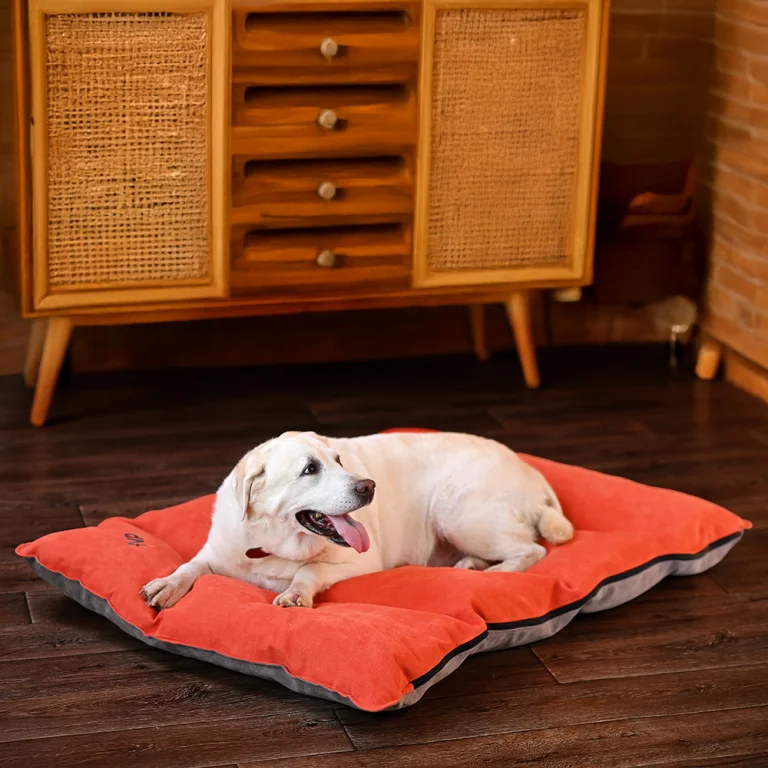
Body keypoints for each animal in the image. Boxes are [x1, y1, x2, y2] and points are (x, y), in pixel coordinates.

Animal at [141, 431, 574, 610]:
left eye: (338, 460)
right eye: (309, 469)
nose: (368, 486)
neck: (273, 544)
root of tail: (534, 474)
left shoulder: (359, 561)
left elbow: (309, 572)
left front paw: (296, 593)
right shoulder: (218, 550)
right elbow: (189, 565)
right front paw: (167, 584)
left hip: (459, 512)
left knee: (531, 550)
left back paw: (489, 571)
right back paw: (471, 564)